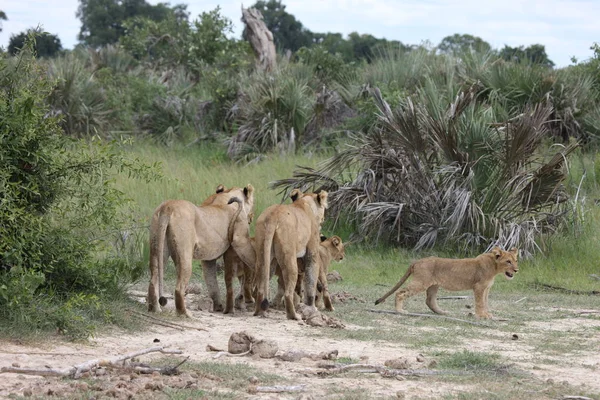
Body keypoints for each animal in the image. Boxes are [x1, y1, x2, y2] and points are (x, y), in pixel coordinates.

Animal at [149, 183, 255, 318]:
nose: (252, 217)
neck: (226, 195)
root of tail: (168, 206)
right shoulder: (240, 240)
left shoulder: (208, 258)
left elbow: (211, 282)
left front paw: (218, 307)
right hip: (185, 255)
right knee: (179, 287)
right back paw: (185, 313)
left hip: (157, 247)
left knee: (153, 280)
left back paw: (155, 309)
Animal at [252, 189, 330, 320]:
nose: (324, 218)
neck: (305, 202)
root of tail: (273, 215)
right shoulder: (312, 253)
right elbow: (311, 282)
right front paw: (312, 308)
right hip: (289, 257)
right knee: (288, 293)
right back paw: (294, 316)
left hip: (264, 256)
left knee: (261, 288)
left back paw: (259, 312)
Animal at [376, 247, 520, 318]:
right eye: (508, 261)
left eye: (515, 260)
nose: (516, 270)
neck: (495, 268)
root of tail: (417, 261)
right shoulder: (479, 287)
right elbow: (480, 303)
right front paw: (482, 316)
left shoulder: (486, 289)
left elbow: (485, 303)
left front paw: (487, 314)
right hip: (421, 282)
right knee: (400, 293)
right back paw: (400, 311)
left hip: (433, 285)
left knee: (429, 301)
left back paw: (442, 313)